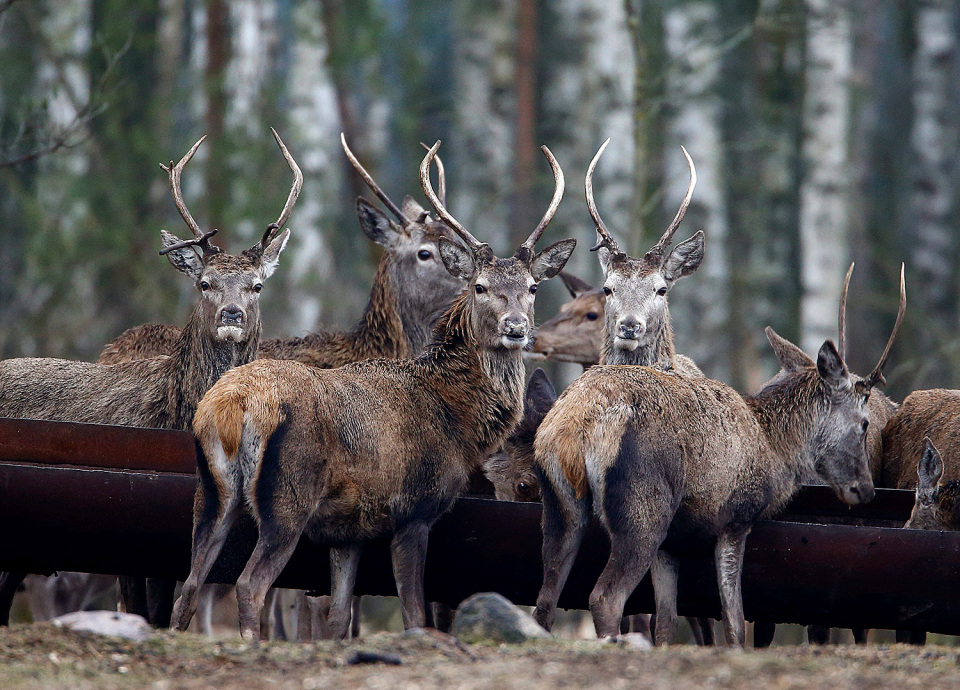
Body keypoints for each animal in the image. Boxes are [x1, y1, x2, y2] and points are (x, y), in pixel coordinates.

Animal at [168, 140, 576, 640]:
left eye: (533, 287)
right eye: (480, 286)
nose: (516, 328)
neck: (456, 418)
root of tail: (233, 407)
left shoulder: (352, 528)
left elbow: (340, 614)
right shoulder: (414, 508)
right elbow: (414, 615)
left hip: (210, 494)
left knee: (190, 585)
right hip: (288, 497)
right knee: (249, 585)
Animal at [532, 141, 905, 644]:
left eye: (662, 288)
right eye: (862, 422)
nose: (864, 490)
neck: (774, 447)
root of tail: (573, 431)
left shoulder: (673, 544)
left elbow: (668, 618)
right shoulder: (734, 518)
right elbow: (733, 621)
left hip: (559, 505)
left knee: (546, 597)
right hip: (642, 508)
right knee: (604, 597)